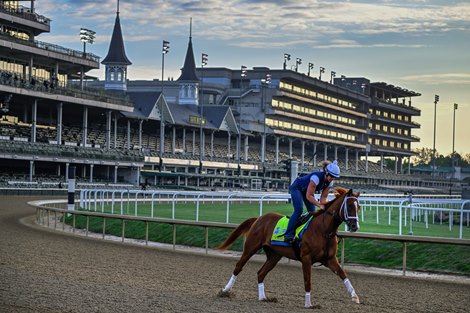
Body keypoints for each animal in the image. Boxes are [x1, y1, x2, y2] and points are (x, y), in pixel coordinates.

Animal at [216, 185, 360, 308]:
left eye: (358, 207)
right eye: (349, 205)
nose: (355, 226)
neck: (323, 230)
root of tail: (259, 218)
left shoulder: (329, 259)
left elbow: (343, 274)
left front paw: (354, 296)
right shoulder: (306, 258)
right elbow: (307, 281)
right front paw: (308, 304)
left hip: (274, 255)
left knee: (261, 273)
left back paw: (263, 297)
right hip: (251, 247)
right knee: (238, 266)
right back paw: (225, 290)